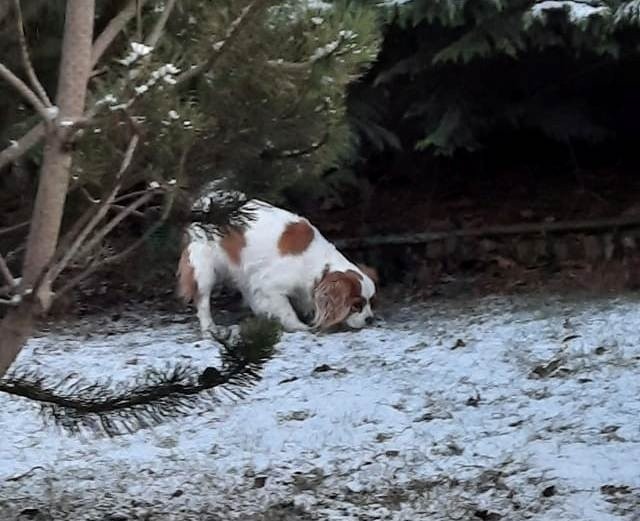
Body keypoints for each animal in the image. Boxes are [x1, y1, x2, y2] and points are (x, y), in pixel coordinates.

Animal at [176, 199, 376, 334]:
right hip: (205, 271)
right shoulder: (270, 286)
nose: (370, 319)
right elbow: (286, 310)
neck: (319, 265)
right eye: (356, 305)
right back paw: (209, 328)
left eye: (370, 301)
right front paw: (298, 326)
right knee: (202, 300)